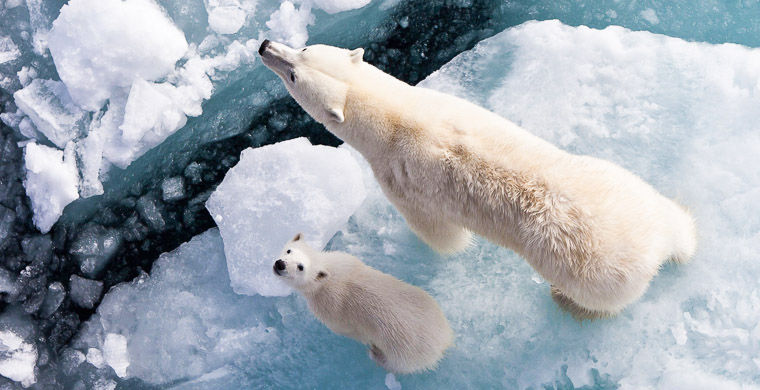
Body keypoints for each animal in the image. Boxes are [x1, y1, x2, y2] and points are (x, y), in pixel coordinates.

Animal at [260, 39, 696, 320]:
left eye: (295, 72)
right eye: (303, 52)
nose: (265, 45)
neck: (398, 117)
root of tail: (654, 245)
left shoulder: (400, 179)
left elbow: (439, 233)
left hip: (593, 271)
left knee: (600, 299)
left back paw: (565, 301)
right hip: (622, 183)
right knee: (674, 218)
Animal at [274, 233, 452, 374]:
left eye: (300, 267)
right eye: (289, 250)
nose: (280, 264)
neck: (330, 273)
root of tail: (443, 341)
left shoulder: (329, 308)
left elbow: (345, 329)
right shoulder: (346, 259)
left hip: (404, 352)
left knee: (396, 364)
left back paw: (375, 354)